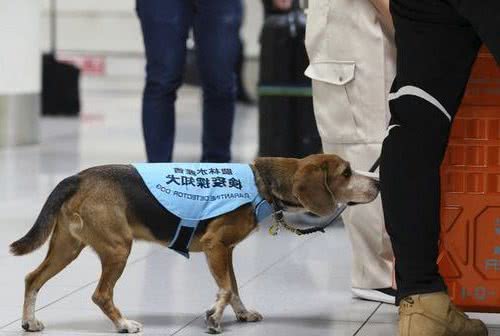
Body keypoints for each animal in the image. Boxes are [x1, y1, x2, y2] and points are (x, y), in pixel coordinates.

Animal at [9, 154, 378, 334]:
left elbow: (234, 288)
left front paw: (240, 314)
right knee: (101, 294)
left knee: (31, 278)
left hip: (67, 247)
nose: (376, 181)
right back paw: (124, 325)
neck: (262, 181)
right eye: (346, 173)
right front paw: (214, 318)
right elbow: (225, 290)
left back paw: (29, 322)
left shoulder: (227, 251)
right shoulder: (216, 246)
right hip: (117, 248)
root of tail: (78, 177)